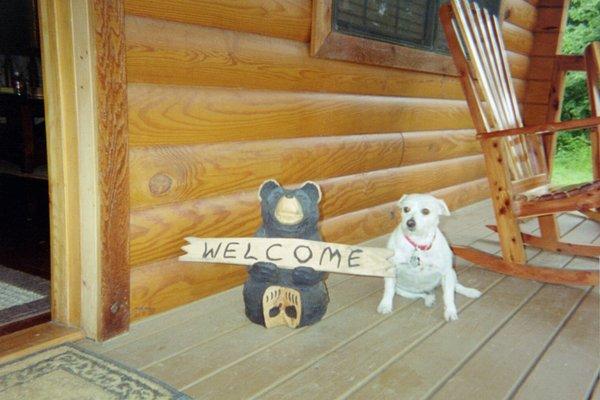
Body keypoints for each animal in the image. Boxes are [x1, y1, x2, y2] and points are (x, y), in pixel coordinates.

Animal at [380, 194, 482, 322]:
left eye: (425, 211)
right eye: (406, 209)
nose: (410, 223)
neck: (418, 243)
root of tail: (430, 288)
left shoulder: (446, 273)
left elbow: (448, 296)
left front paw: (450, 311)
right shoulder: (391, 270)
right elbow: (388, 291)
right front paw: (385, 305)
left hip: (452, 274)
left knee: (455, 287)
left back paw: (469, 291)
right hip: (402, 291)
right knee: (422, 295)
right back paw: (429, 299)